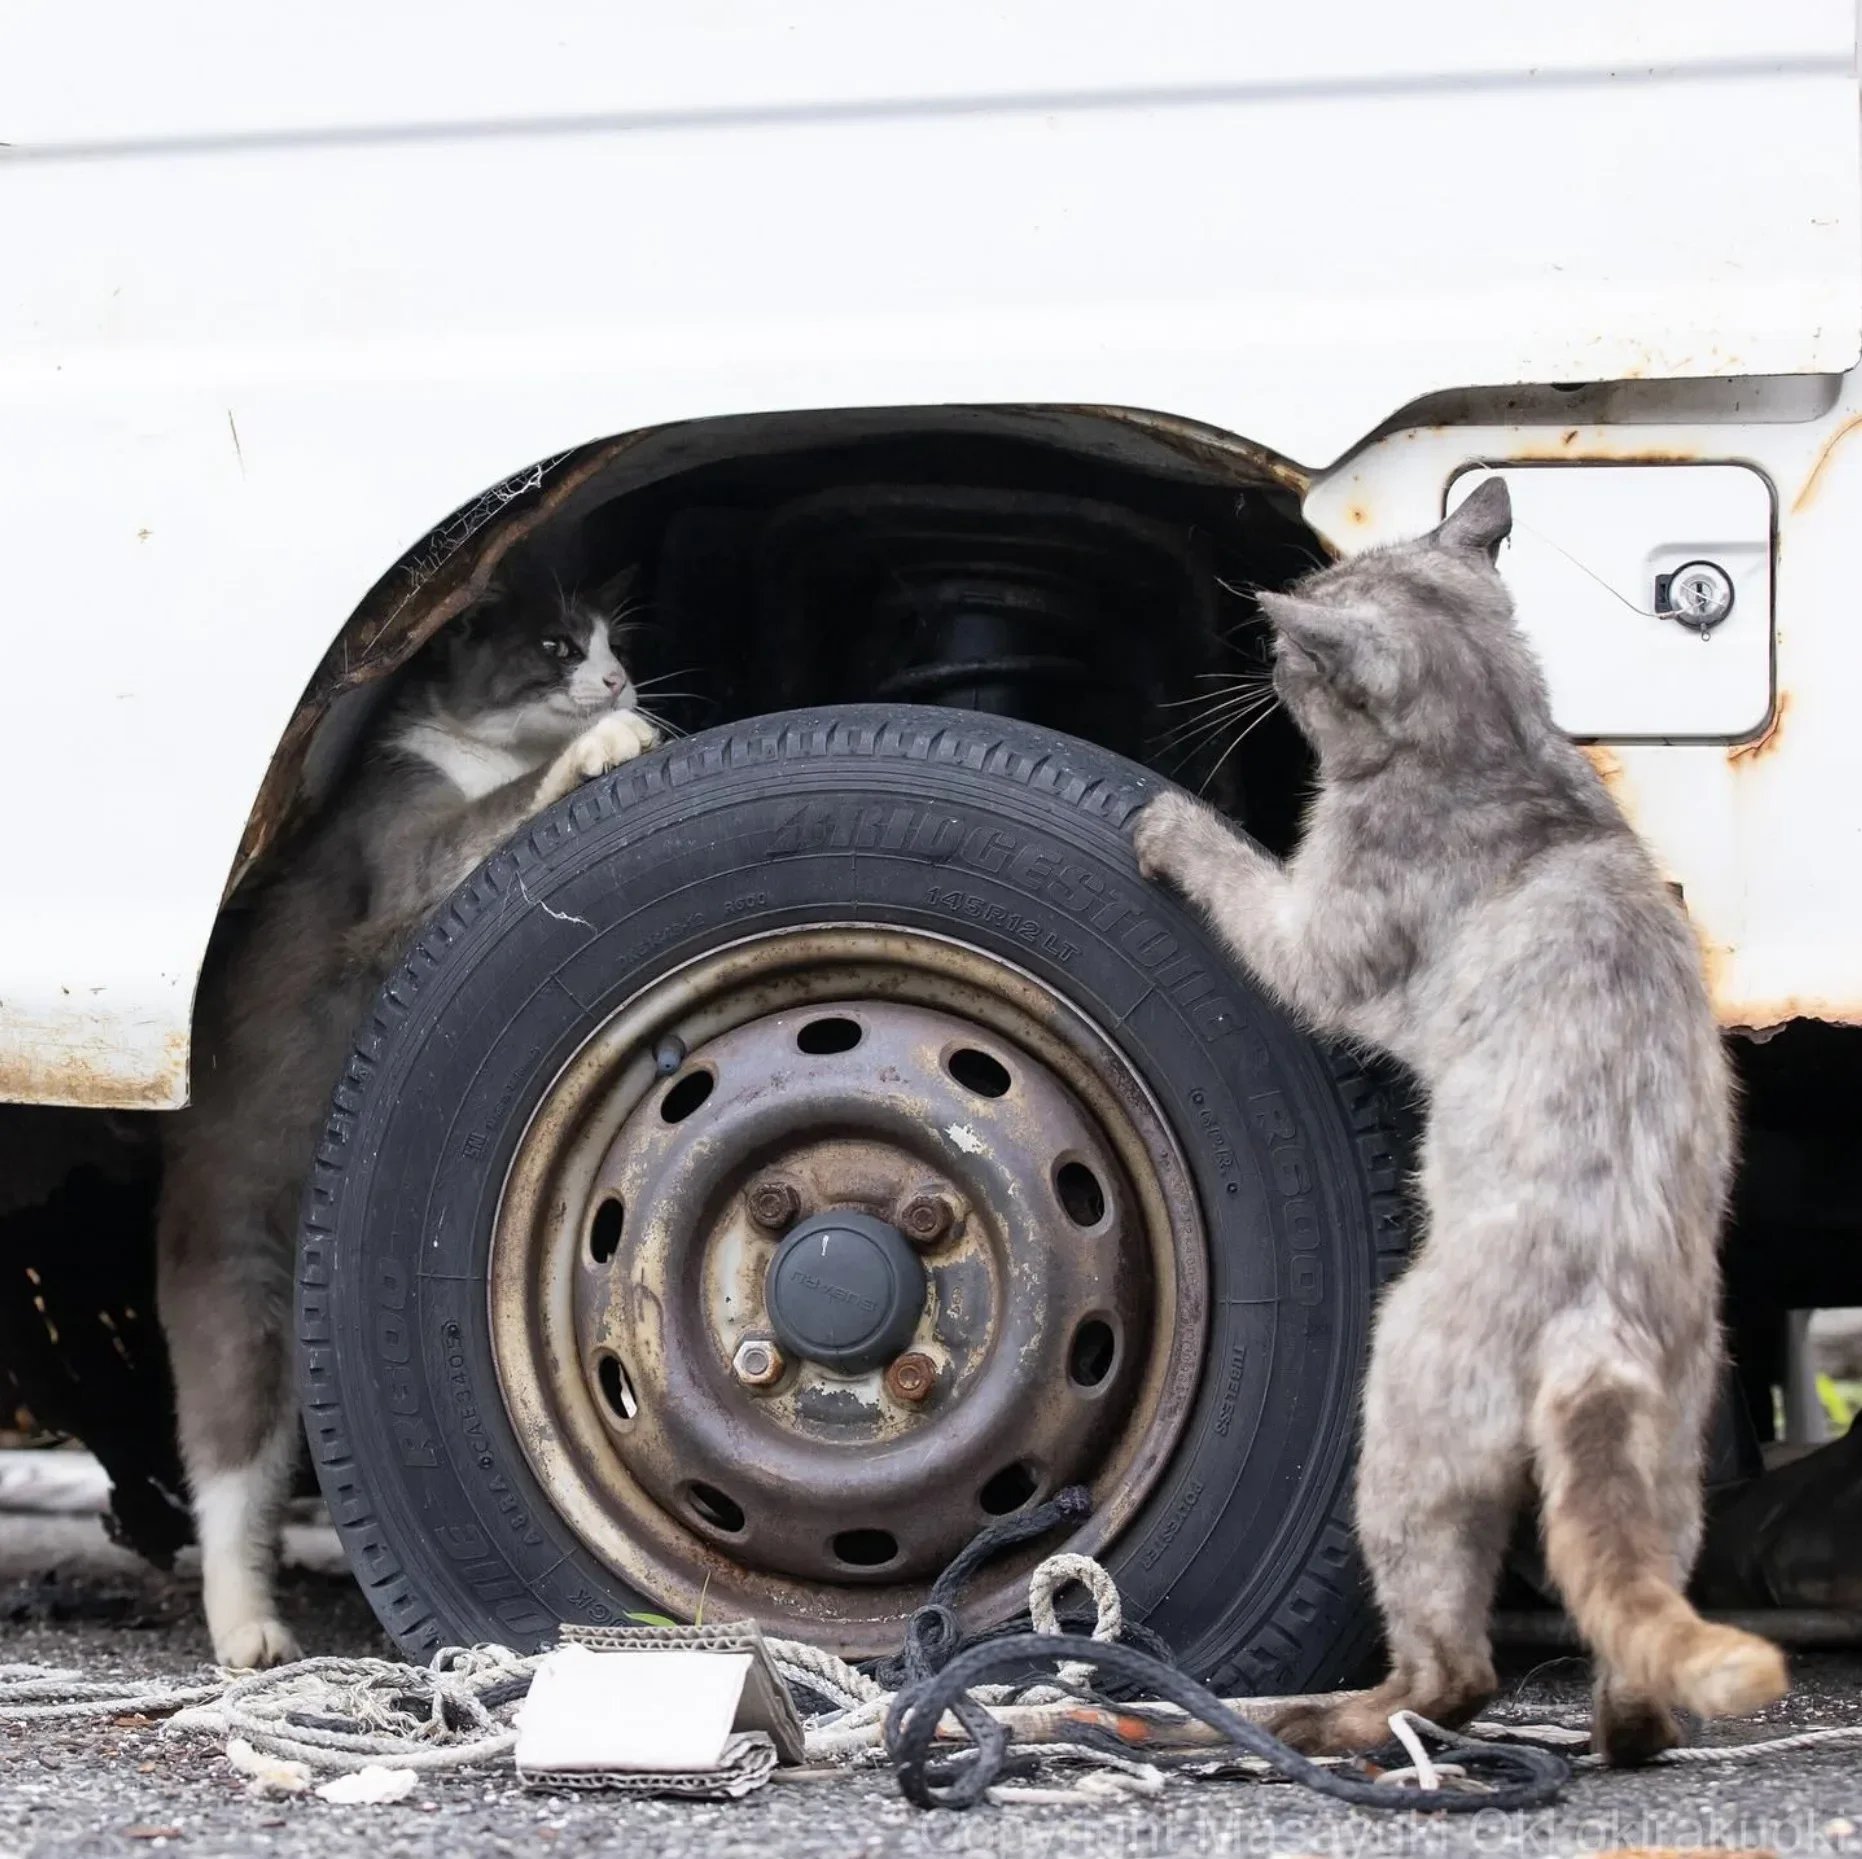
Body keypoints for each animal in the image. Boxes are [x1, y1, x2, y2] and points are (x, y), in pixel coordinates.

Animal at [158, 555, 662, 1676]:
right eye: (557, 646)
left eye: (615, 640)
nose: (617, 680)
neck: (477, 748)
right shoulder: (398, 842)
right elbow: (475, 829)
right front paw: (610, 743)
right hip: (234, 1272)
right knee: (227, 1458)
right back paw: (244, 1626)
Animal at [1132, 476, 1787, 1758]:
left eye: (1290, 647)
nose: (1256, 658)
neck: (1505, 747)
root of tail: (1597, 1324)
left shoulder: (1314, 934)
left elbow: (1233, 866)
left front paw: (1164, 821)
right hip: (1668, 1467)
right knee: (1632, 1621)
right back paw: (1612, 1736)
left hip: (1401, 1416)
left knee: (1452, 1666)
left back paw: (1323, 1722)